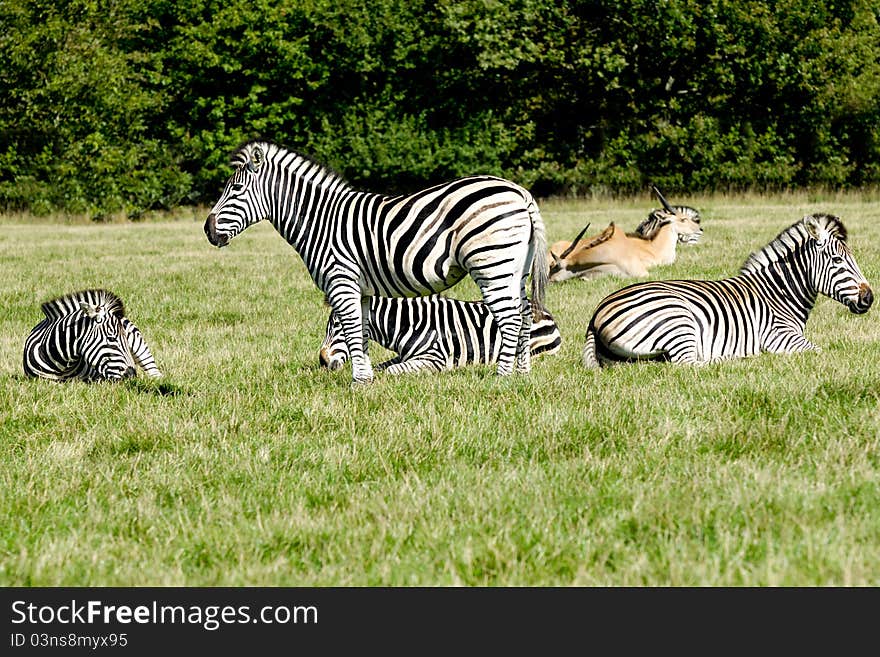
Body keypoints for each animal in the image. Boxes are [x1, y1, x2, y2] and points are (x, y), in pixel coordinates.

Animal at [320, 294, 560, 374]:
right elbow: (383, 366)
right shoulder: (405, 355)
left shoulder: (435, 358)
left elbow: (391, 371)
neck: (408, 323)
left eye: (339, 326)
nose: (322, 361)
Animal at [584, 213, 872, 366]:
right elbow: (822, 351)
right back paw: (741, 358)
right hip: (677, 319)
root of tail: (596, 313)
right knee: (688, 363)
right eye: (837, 260)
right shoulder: (779, 336)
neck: (779, 294)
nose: (869, 298)